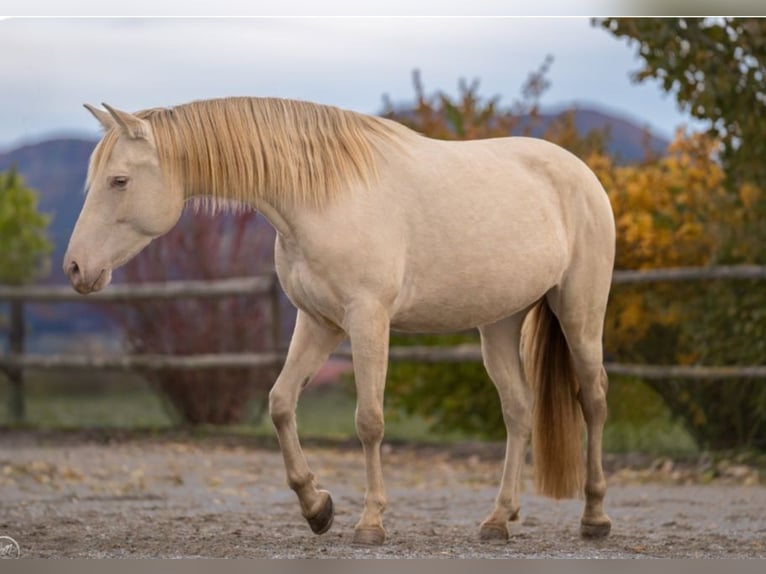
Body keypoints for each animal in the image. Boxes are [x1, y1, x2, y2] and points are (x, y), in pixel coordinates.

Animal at [64, 99, 616, 548]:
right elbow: (281, 403)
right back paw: (499, 520)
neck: (322, 196)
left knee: (592, 401)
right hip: (499, 324)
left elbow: (369, 421)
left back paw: (594, 517)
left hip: (580, 316)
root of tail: (582, 175)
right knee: (519, 411)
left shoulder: (367, 319)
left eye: (119, 181)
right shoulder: (318, 322)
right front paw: (317, 508)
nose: (75, 269)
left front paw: (370, 523)